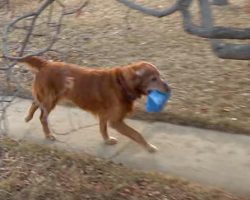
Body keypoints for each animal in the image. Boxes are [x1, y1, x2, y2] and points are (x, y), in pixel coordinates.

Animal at [21, 56, 170, 153]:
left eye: (159, 75)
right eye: (153, 79)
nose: (169, 88)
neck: (122, 84)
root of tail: (46, 63)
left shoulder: (104, 115)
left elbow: (103, 129)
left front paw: (107, 140)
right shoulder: (115, 121)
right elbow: (136, 134)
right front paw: (149, 147)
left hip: (49, 98)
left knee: (35, 102)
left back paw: (28, 117)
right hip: (50, 99)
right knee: (42, 117)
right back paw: (48, 134)